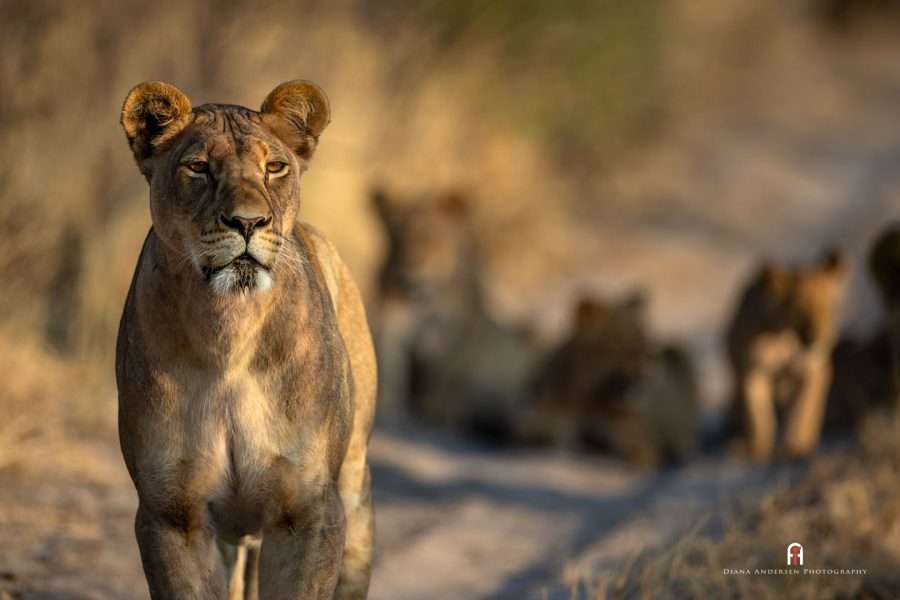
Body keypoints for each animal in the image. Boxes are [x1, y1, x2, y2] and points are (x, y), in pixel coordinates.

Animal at [116, 80, 375, 600]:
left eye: (274, 167)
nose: (249, 222)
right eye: (198, 167)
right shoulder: (171, 514)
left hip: (355, 493)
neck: (227, 333)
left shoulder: (308, 512)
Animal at [370, 187, 536, 438]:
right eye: (395, 239)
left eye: (432, 237)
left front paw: (436, 414)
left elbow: (446, 374)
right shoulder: (393, 326)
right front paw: (388, 409)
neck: (422, 299)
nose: (409, 272)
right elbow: (392, 367)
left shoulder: (453, 331)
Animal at [724, 249, 846, 462]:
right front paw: (758, 448)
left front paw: (796, 446)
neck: (785, 337)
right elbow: (757, 415)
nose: (819, 338)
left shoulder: (813, 370)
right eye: (800, 311)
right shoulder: (752, 371)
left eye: (831, 309)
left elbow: (803, 410)